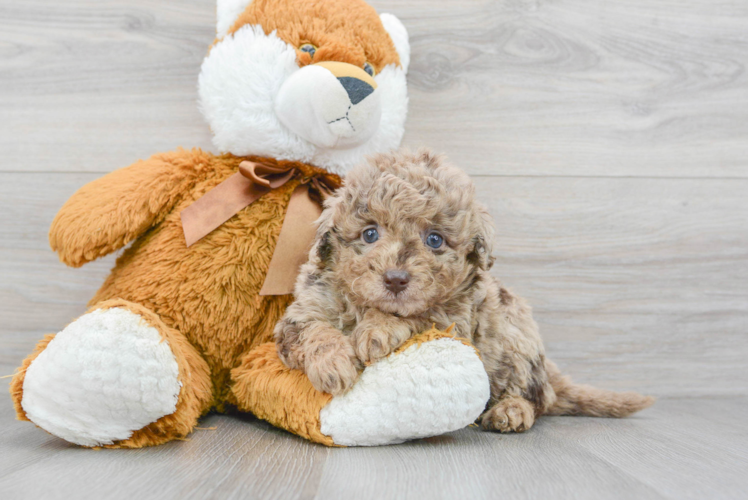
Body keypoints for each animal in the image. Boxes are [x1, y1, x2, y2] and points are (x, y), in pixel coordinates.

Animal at [276, 149, 656, 434]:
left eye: (434, 240)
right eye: (370, 234)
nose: (396, 279)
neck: (363, 303)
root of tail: (549, 373)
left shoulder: (456, 318)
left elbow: (419, 315)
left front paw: (376, 330)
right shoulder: (302, 311)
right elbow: (315, 331)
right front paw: (334, 363)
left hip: (515, 341)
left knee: (533, 397)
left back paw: (511, 412)